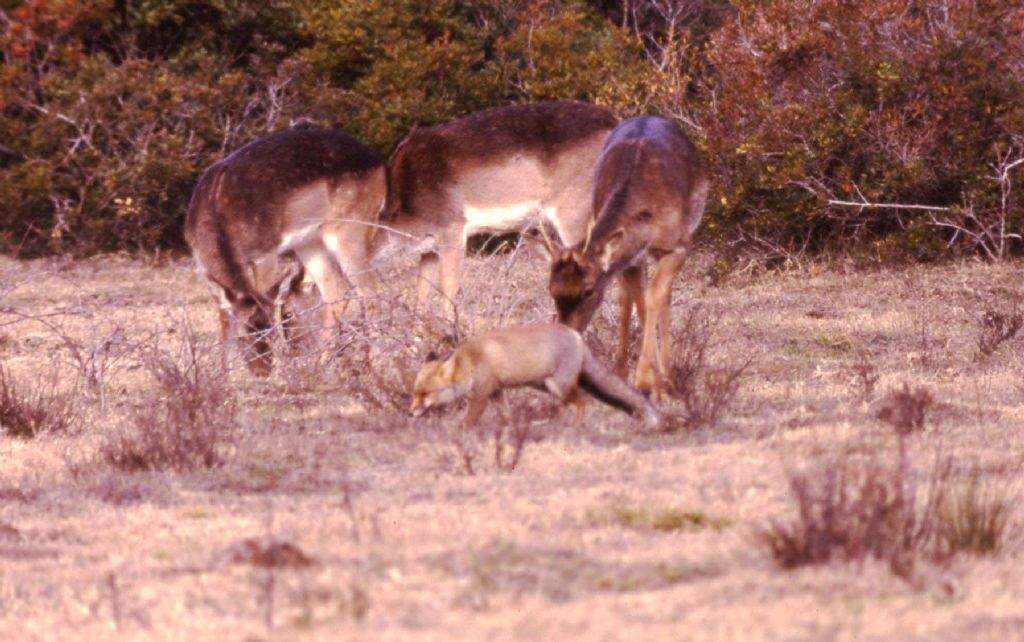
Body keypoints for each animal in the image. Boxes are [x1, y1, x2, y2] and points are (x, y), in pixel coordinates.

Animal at [182, 126, 385, 376]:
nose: (263, 371)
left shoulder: (265, 252)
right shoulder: (205, 272)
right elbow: (224, 320)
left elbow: (264, 294)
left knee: (372, 291)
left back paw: (376, 364)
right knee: (336, 291)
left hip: (351, 229)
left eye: (269, 329)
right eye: (242, 336)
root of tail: (378, 162)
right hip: (309, 243)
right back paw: (321, 365)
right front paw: (223, 375)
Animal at [409, 325, 663, 432]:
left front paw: (460, 432)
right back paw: (556, 423)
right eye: (415, 393)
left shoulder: (480, 395)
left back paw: (575, 425)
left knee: (580, 401)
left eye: (425, 394)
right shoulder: (496, 391)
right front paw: (510, 428)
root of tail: (576, 335)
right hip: (547, 386)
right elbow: (506, 415)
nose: (410, 413)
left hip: (558, 384)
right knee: (566, 404)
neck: (470, 363)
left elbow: (469, 420)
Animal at [548, 113, 708, 399]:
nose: (568, 334)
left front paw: (650, 383)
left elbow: (654, 298)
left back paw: (668, 376)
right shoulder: (630, 259)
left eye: (588, 290)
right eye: (551, 290)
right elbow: (641, 304)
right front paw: (649, 382)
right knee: (628, 298)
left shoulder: (680, 245)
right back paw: (623, 372)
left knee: (663, 296)